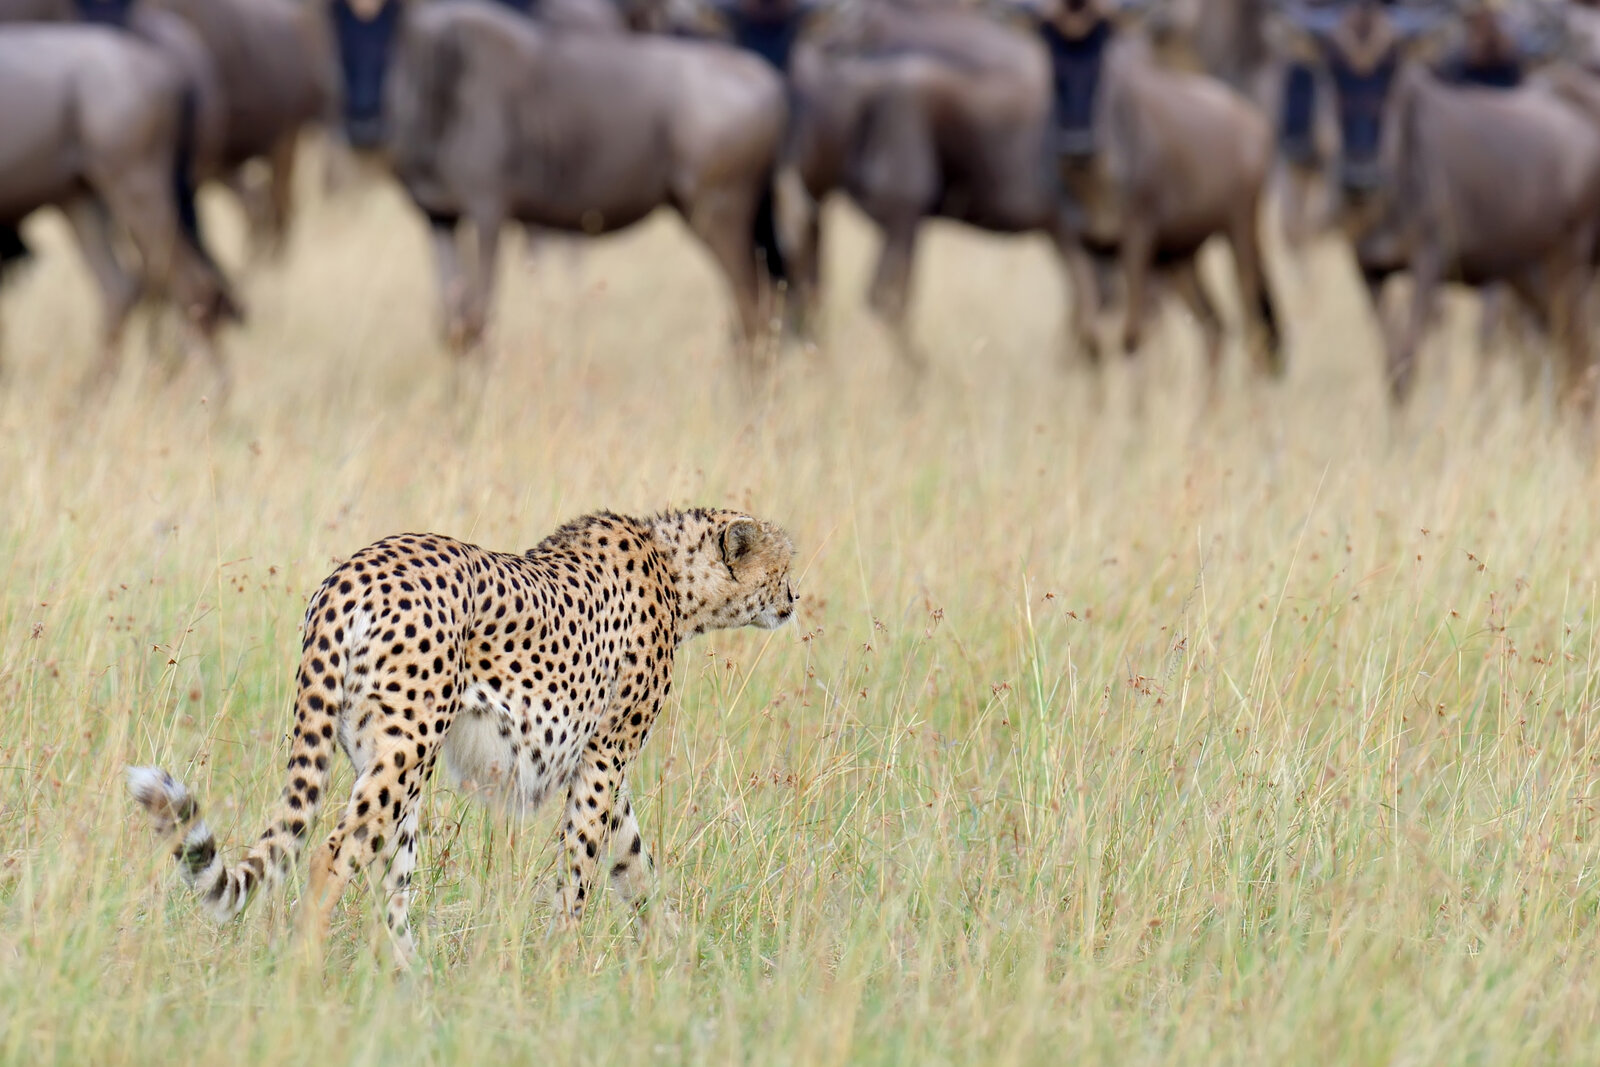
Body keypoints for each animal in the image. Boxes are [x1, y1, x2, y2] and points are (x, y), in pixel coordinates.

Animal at [128, 507, 796, 967]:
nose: (794, 600)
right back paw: (309, 972)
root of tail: (350, 572)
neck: (677, 574)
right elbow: (582, 866)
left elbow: (633, 860)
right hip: (408, 748)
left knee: (390, 884)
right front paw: (561, 963)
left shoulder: (600, 762)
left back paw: (412, 986)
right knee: (332, 855)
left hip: (385, 758)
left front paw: (674, 950)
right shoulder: (606, 755)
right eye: (785, 566)